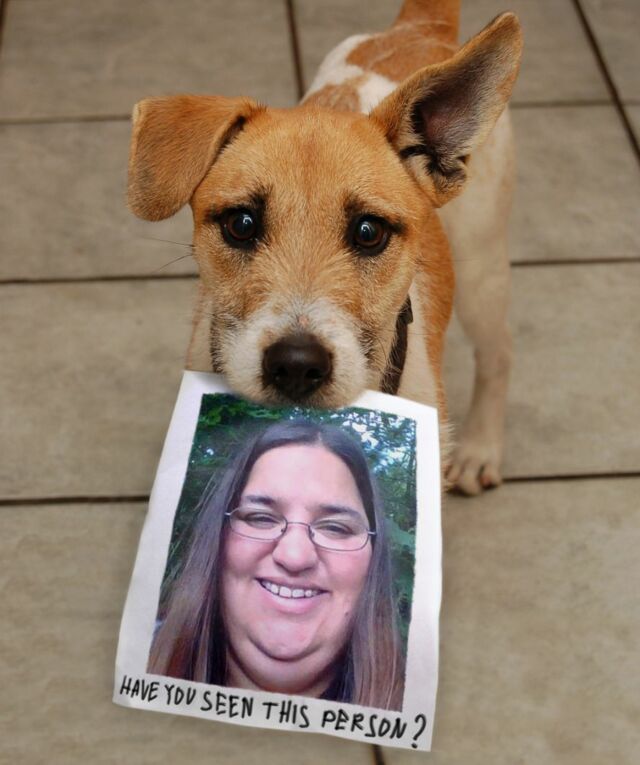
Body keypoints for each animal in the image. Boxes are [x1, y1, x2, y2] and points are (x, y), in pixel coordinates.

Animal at [127, 0, 523, 495]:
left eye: (369, 232)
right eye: (241, 224)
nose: (296, 365)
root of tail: (421, 27)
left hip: (481, 270)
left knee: (499, 351)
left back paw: (479, 449)